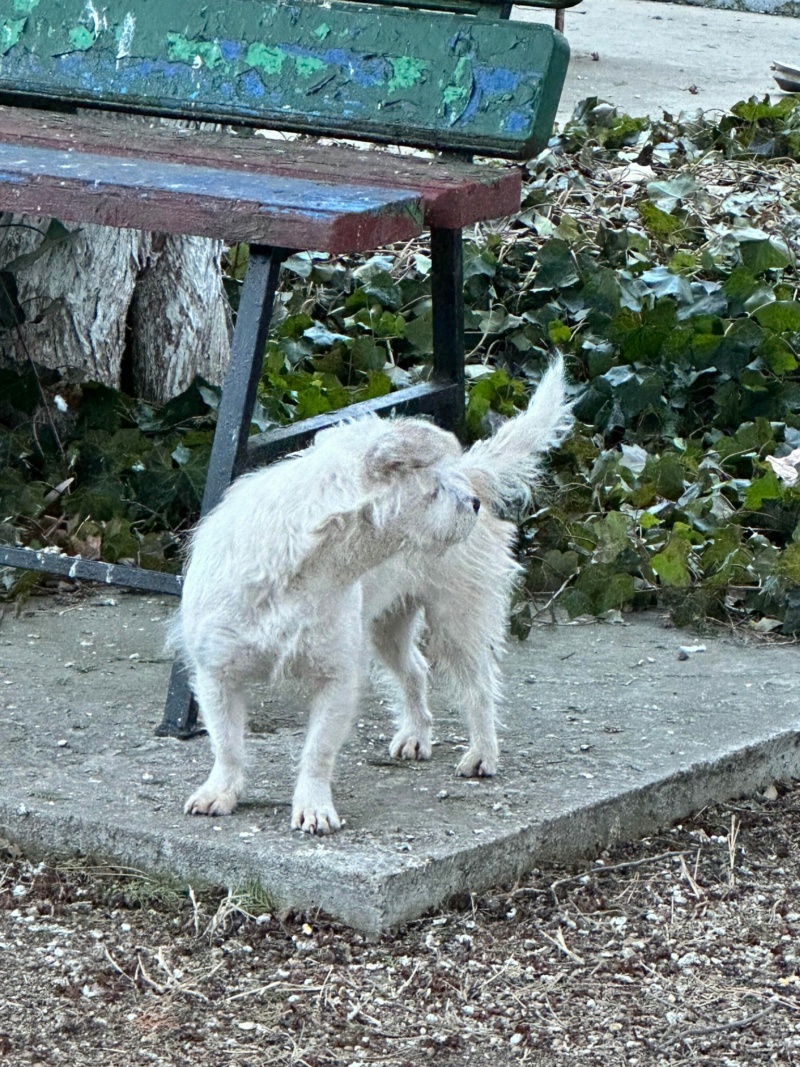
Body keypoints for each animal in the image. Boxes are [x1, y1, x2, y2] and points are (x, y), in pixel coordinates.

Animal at [174, 358, 571, 832]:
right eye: (435, 487)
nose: (472, 503)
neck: (300, 569)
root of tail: (475, 470)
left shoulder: (337, 680)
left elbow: (317, 752)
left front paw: (313, 806)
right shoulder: (216, 675)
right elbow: (227, 744)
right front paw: (221, 791)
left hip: (458, 622)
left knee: (479, 687)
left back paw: (482, 753)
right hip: (388, 628)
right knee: (415, 671)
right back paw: (417, 734)